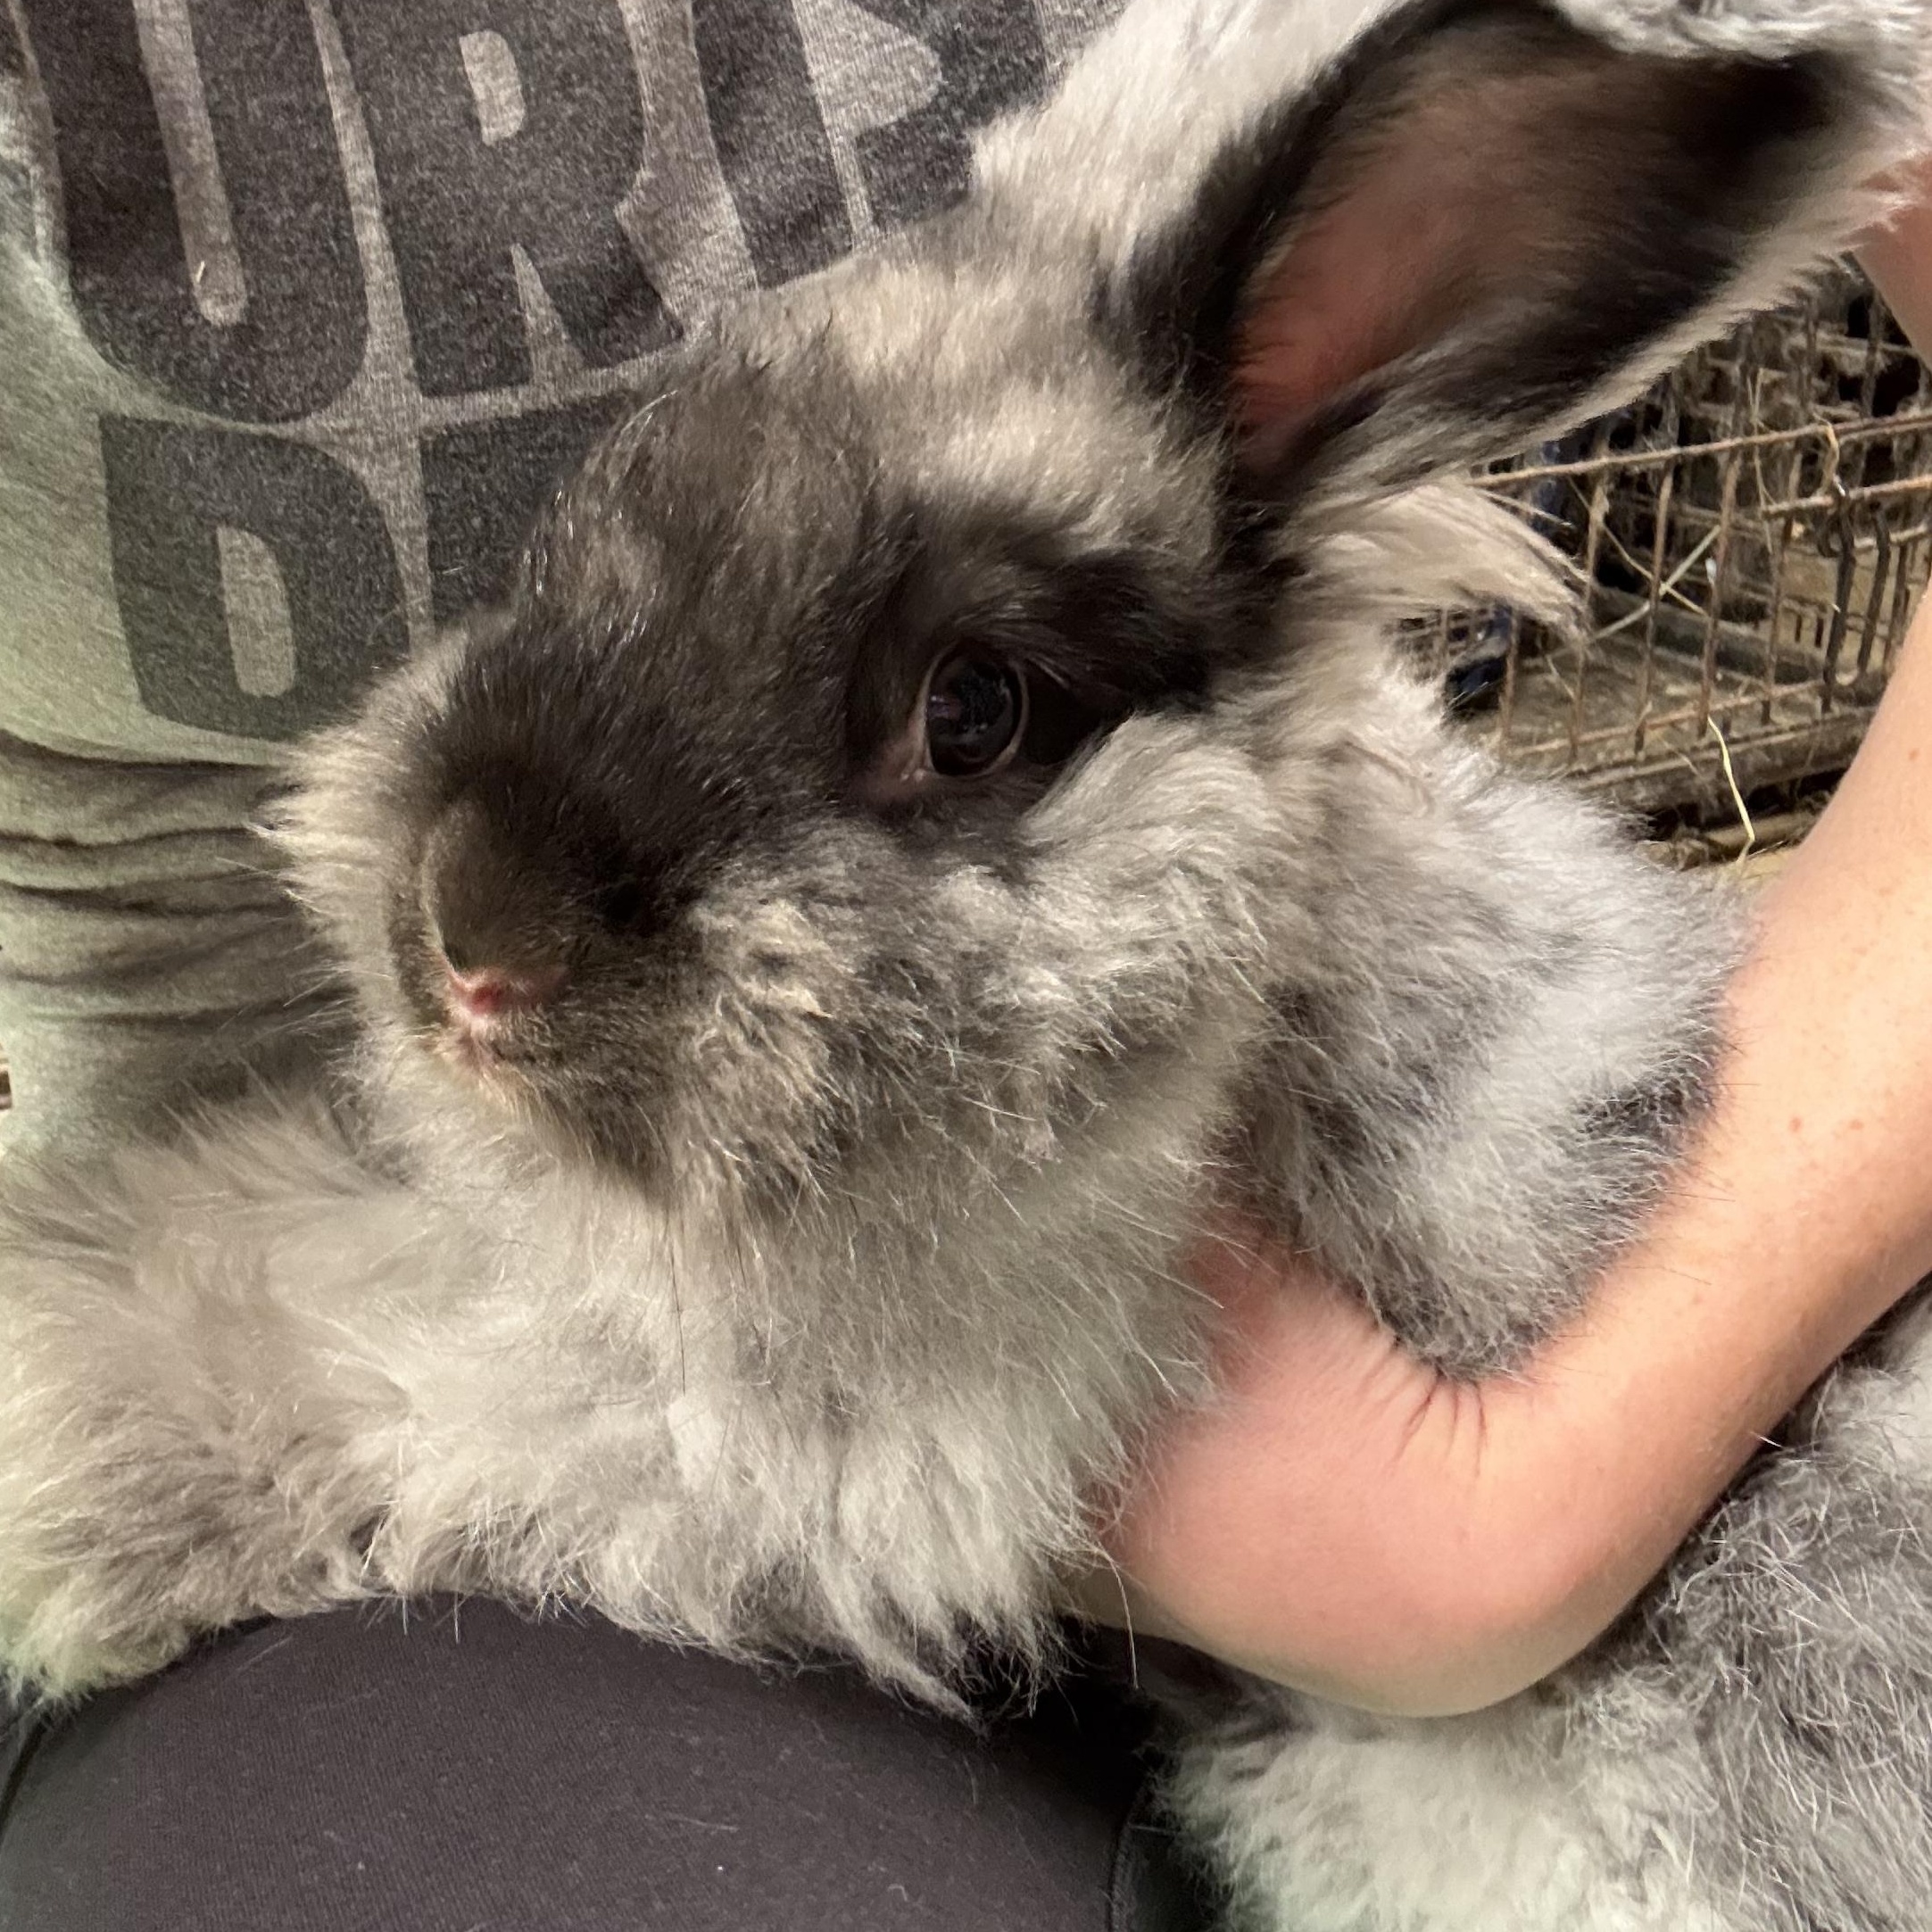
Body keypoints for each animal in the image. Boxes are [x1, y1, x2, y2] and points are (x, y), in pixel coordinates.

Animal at [4, 0, 1931, 1925]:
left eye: (976, 707)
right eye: (575, 529)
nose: (473, 932)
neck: (1264, 1009)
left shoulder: (798, 1410)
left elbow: (360, 1332)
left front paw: (47, 1444)